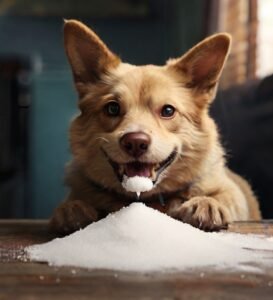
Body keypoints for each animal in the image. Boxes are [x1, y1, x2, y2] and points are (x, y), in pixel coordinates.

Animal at [49, 19, 260, 236]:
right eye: (112, 108)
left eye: (167, 110)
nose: (135, 142)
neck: (145, 198)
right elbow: (72, 202)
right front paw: (73, 208)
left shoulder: (233, 192)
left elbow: (224, 196)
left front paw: (206, 203)